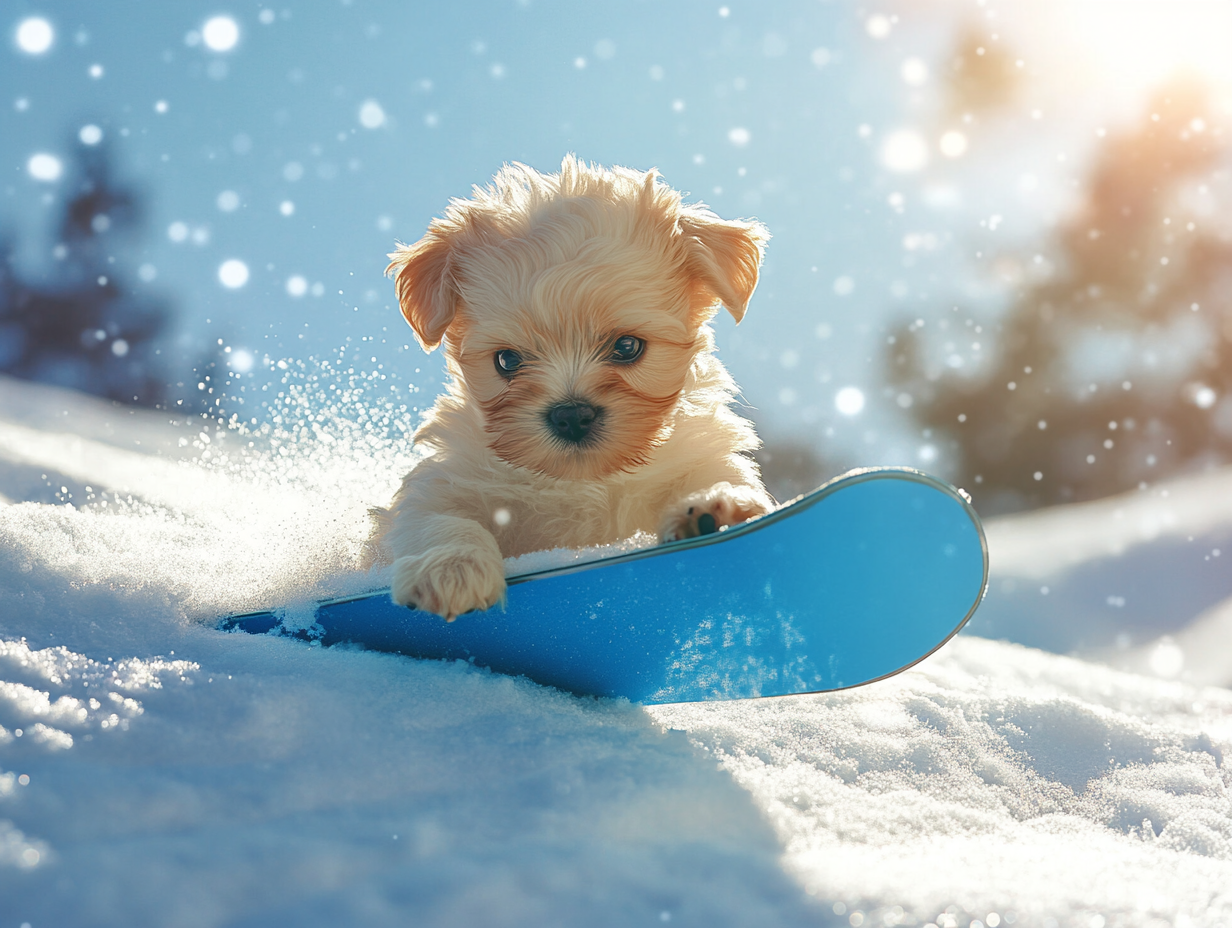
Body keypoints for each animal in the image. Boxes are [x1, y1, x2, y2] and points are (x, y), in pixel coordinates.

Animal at [364, 155, 773, 618]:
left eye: (627, 347)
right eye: (507, 361)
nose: (571, 415)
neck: (582, 483)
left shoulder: (701, 451)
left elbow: (718, 474)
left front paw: (714, 506)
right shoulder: (445, 479)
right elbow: (440, 518)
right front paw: (450, 566)